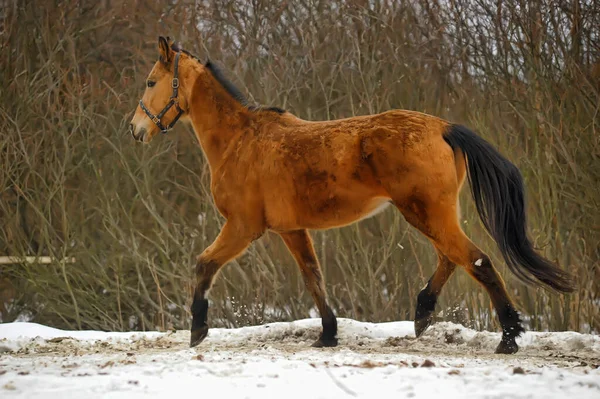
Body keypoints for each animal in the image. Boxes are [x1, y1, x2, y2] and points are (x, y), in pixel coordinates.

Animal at [129, 38, 576, 356]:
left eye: (150, 82)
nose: (135, 129)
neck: (241, 141)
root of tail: (443, 127)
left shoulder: (243, 226)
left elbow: (204, 264)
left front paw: (198, 330)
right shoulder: (291, 230)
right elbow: (313, 278)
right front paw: (328, 334)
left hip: (425, 213)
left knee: (476, 261)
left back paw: (508, 337)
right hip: (433, 214)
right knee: (452, 259)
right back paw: (423, 315)